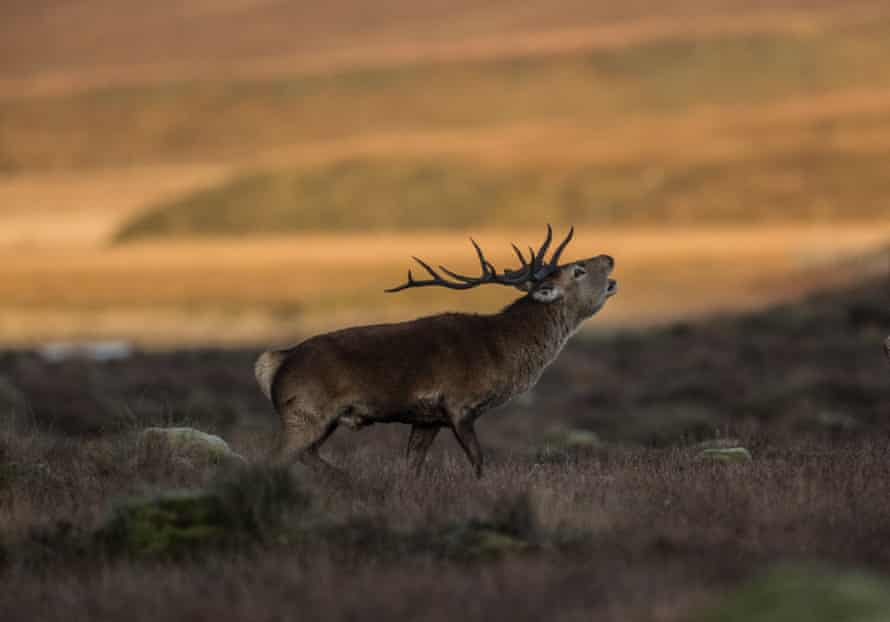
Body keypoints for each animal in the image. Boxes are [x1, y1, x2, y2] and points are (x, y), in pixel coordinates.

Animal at [255, 227, 616, 480]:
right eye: (578, 269)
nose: (609, 257)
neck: (503, 351)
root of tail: (274, 362)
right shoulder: (459, 404)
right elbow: (478, 460)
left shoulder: (427, 418)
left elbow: (412, 466)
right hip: (304, 413)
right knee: (273, 458)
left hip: (319, 419)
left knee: (306, 455)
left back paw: (348, 480)